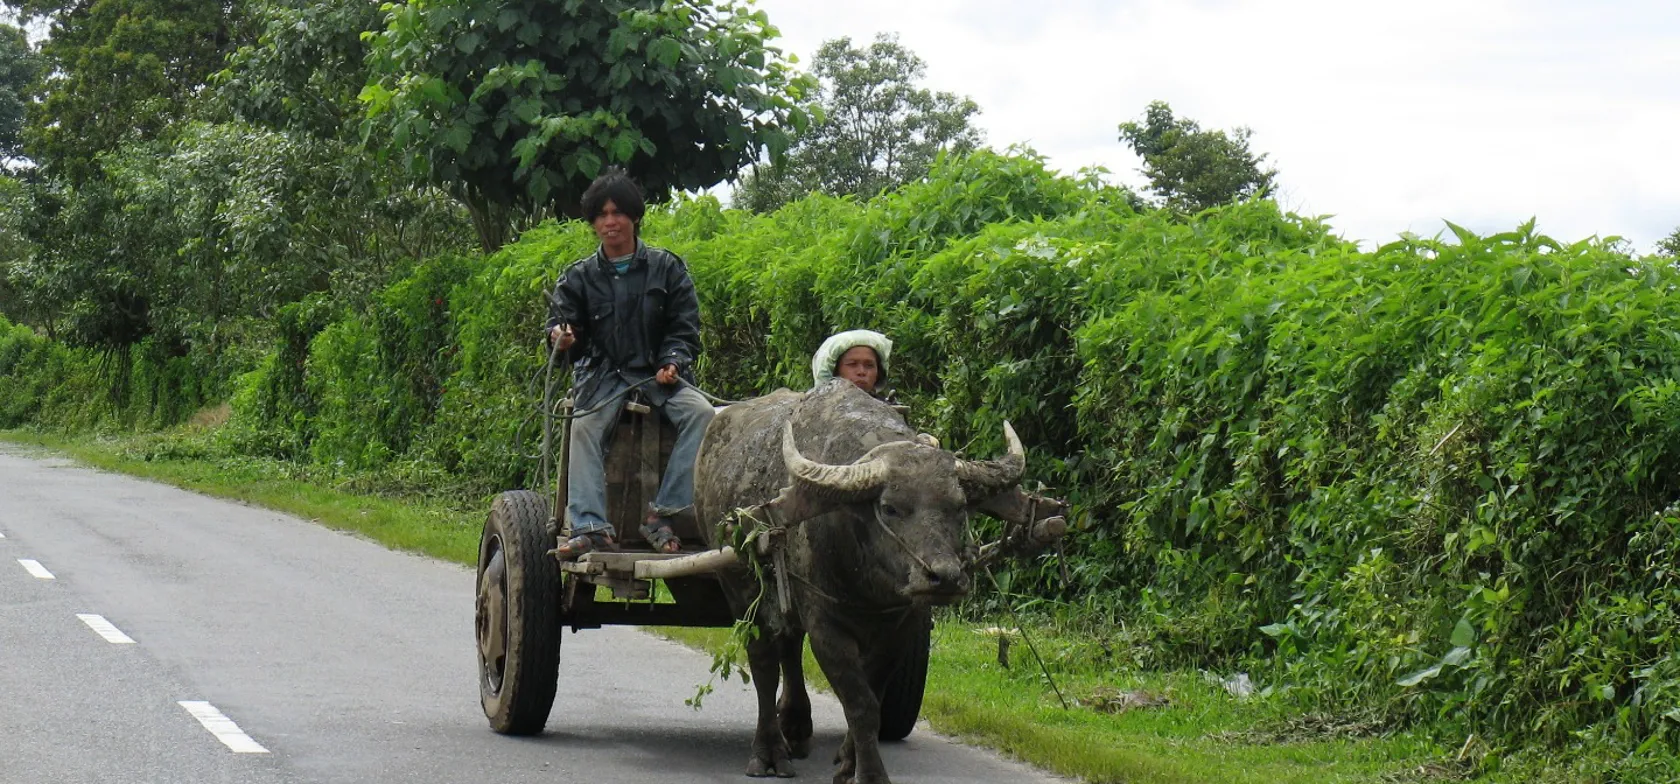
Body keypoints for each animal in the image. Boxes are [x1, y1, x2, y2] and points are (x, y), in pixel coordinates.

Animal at [688, 377, 1028, 782]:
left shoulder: (900, 627)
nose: (944, 577)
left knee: (788, 648)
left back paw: (796, 728)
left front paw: (849, 763)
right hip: (740, 588)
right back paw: (769, 752)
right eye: (890, 508)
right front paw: (870, 773)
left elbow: (873, 697)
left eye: (959, 506)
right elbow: (860, 702)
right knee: (764, 664)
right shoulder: (826, 627)